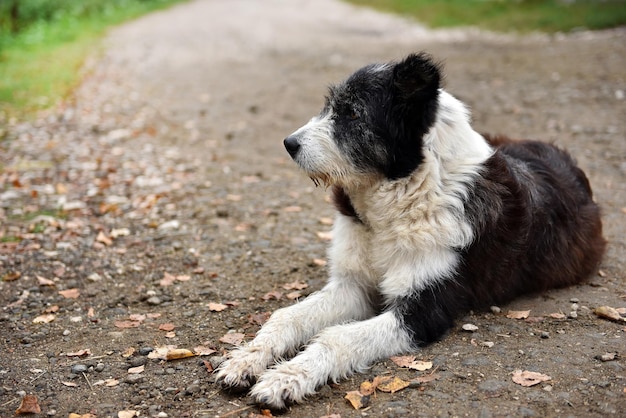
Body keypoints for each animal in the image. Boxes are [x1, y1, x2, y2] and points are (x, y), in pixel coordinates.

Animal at [214, 52, 604, 408]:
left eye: (352, 113)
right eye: (329, 107)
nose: (289, 144)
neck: (407, 192)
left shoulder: (424, 310)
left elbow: (337, 337)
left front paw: (286, 378)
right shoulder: (353, 287)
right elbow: (287, 316)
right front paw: (247, 358)